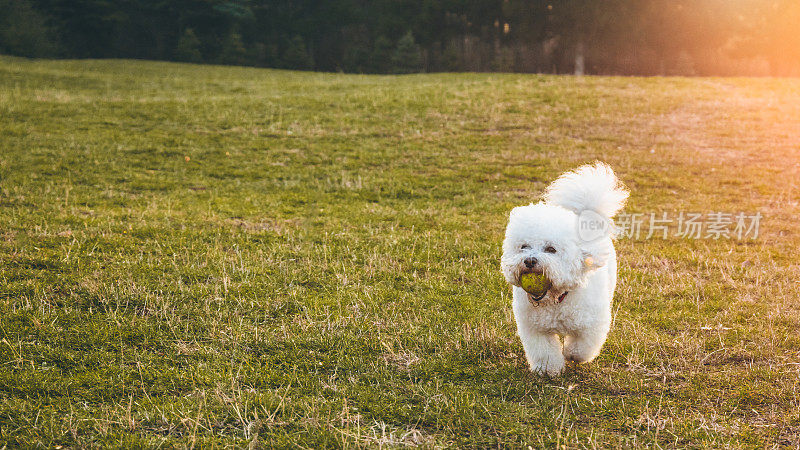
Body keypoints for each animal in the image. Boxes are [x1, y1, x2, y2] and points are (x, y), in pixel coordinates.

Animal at [504, 163, 628, 374]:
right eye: (523, 246)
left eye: (551, 249)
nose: (529, 261)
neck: (555, 300)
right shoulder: (535, 329)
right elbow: (544, 351)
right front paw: (547, 370)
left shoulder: (592, 325)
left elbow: (581, 347)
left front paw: (572, 355)